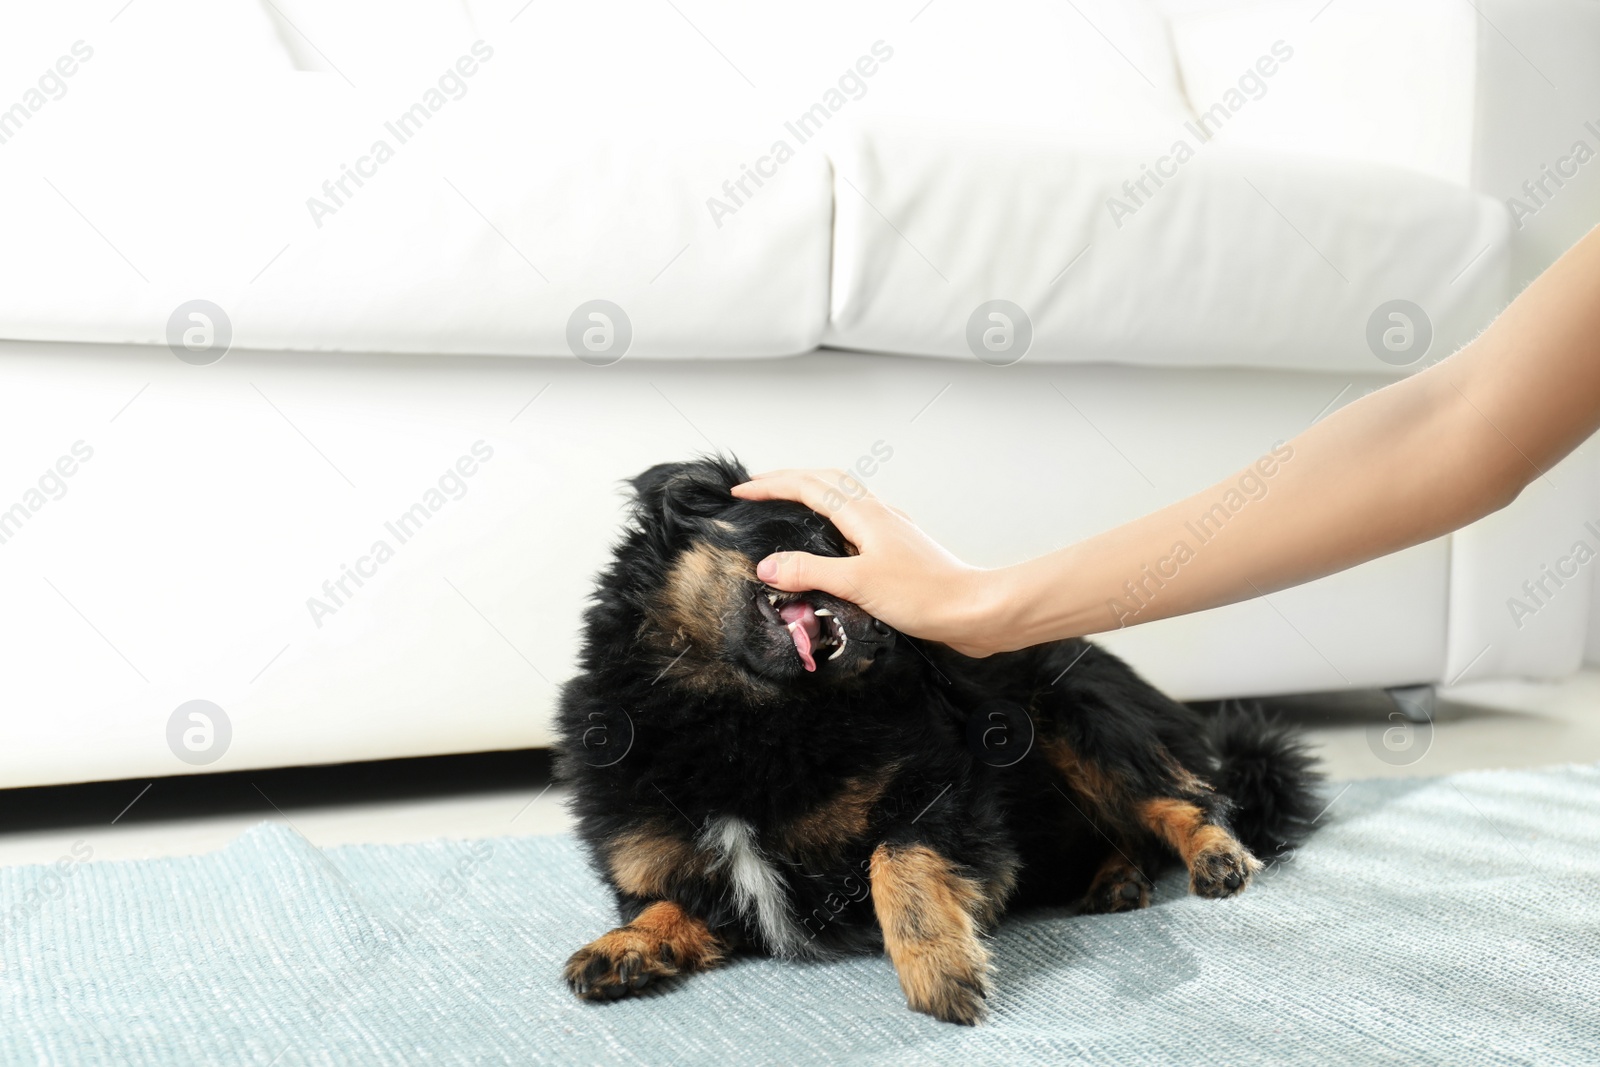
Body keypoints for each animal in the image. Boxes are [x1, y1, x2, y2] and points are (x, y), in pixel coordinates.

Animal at [556, 454, 1318, 1023]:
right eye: (820, 536)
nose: (891, 632)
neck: (745, 713)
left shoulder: (950, 790)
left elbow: (895, 854)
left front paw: (939, 965)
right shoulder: (685, 875)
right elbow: (667, 903)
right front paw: (625, 944)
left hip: (1070, 710)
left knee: (1187, 796)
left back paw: (1216, 856)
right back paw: (1118, 878)